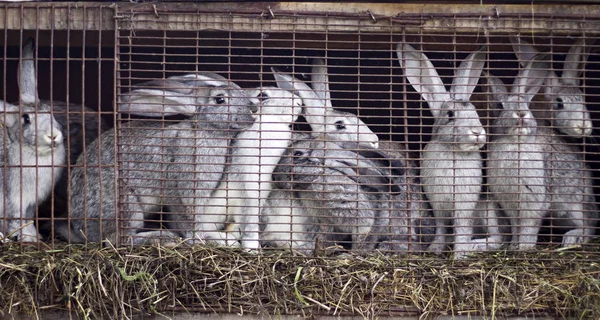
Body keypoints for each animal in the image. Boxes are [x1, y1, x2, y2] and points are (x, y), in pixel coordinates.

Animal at [54, 74, 255, 245]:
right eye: (220, 99)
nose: (252, 111)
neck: (203, 131)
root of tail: (80, 228)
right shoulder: (183, 189)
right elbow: (189, 218)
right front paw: (198, 239)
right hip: (127, 205)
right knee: (118, 239)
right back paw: (162, 238)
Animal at [396, 42, 494, 258]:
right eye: (450, 115)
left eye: (475, 112)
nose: (477, 132)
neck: (453, 151)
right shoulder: (438, 205)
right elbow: (441, 227)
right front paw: (435, 248)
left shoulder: (464, 207)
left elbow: (462, 229)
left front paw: (459, 255)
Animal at [486, 54, 552, 250]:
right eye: (500, 106)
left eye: (526, 104)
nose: (521, 113)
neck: (514, 143)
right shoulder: (510, 205)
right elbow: (516, 225)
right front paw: (514, 246)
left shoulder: (534, 202)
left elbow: (529, 227)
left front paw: (524, 247)